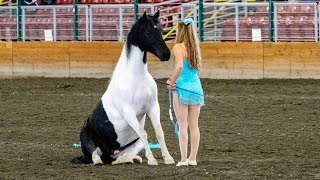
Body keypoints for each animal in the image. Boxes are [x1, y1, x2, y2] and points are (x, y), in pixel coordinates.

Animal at [80, 10, 175, 166]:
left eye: (161, 30)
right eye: (148, 31)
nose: (166, 54)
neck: (136, 76)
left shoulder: (153, 107)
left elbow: (159, 132)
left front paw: (168, 158)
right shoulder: (129, 112)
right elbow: (143, 133)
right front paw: (152, 160)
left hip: (134, 145)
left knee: (119, 159)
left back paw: (132, 159)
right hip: (90, 144)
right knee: (96, 157)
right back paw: (99, 161)